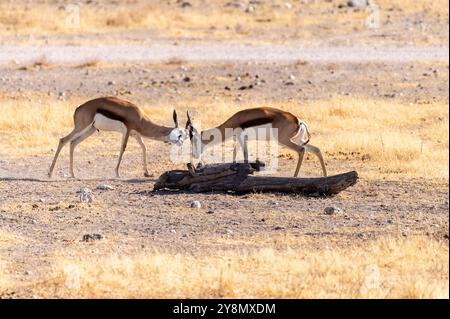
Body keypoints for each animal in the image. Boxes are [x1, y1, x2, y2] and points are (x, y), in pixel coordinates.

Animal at [46, 96, 185, 179]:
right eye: (180, 134)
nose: (182, 143)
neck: (139, 117)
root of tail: (78, 108)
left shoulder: (135, 135)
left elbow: (144, 147)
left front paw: (147, 173)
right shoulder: (127, 131)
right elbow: (123, 148)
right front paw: (117, 173)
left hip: (90, 130)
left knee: (73, 143)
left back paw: (73, 174)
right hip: (82, 127)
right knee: (63, 140)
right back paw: (50, 173)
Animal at [186, 107, 326, 178]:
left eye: (194, 141)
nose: (194, 155)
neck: (234, 121)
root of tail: (298, 120)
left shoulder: (242, 138)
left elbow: (245, 155)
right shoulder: (239, 139)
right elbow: (235, 154)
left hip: (284, 141)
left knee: (302, 150)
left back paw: (294, 176)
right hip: (298, 140)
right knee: (316, 149)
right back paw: (325, 175)